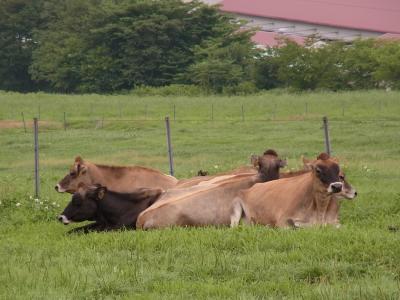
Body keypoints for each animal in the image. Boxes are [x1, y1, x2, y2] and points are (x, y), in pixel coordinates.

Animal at [230, 154, 358, 229]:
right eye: (318, 170)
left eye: (338, 170)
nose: (337, 186)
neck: (320, 209)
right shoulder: (282, 221)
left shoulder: (336, 223)